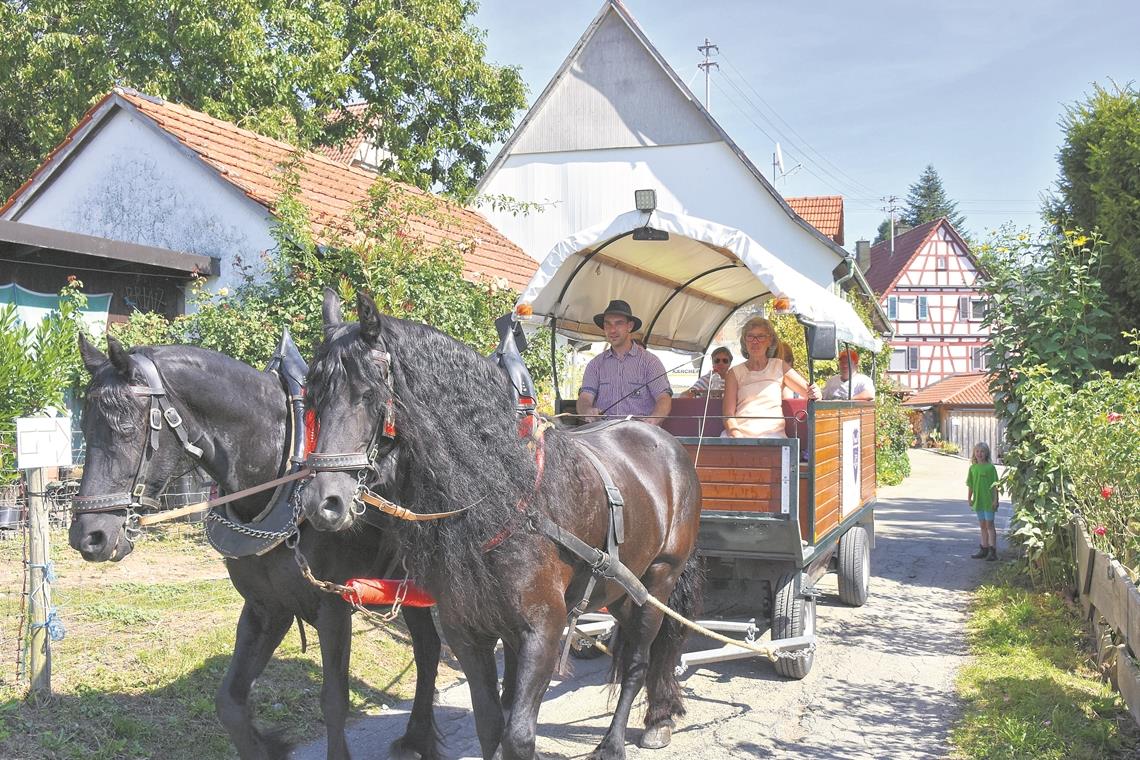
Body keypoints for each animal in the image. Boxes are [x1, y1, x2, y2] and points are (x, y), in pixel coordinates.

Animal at [66, 337, 440, 760]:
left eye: (126, 428)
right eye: (83, 425)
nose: (88, 536)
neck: (281, 473)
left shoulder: (332, 608)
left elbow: (333, 700)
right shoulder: (266, 607)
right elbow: (229, 702)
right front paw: (267, 744)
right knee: (429, 648)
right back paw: (418, 737)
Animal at [298, 291, 697, 760]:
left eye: (366, 393)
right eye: (312, 398)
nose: (323, 502)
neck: (500, 491)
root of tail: (666, 444)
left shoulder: (543, 631)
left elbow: (518, 735)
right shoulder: (468, 633)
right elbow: (490, 725)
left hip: (658, 582)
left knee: (637, 662)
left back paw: (618, 740)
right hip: (619, 588)